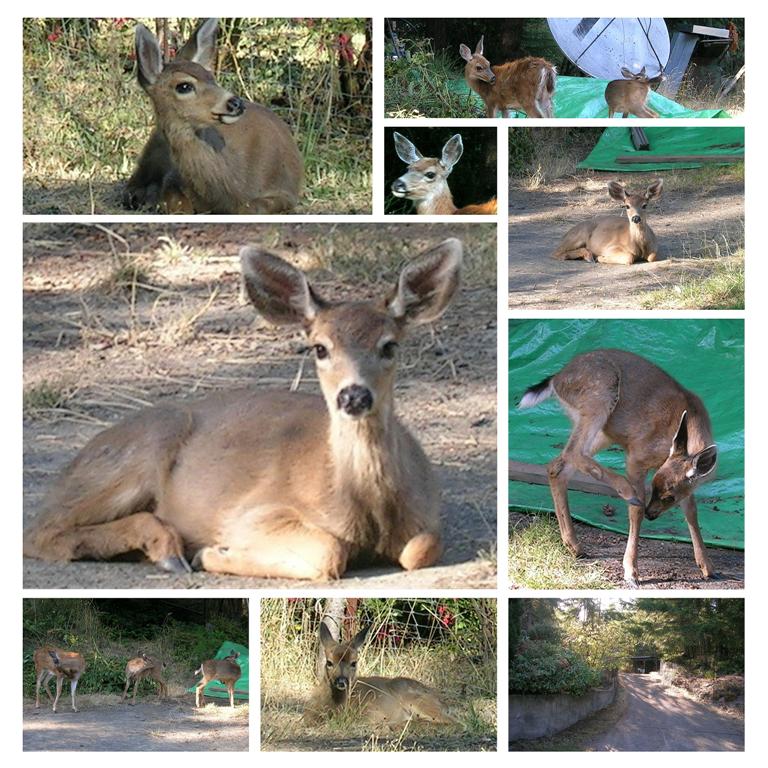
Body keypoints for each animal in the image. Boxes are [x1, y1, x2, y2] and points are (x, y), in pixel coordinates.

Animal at [22, 239, 463, 581]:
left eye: (389, 345)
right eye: (320, 348)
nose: (353, 396)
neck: (368, 509)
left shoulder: (428, 514)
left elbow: (421, 548)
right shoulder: (252, 513)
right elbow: (329, 552)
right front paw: (213, 553)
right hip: (141, 447)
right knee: (40, 529)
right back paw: (169, 550)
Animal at [126, 18, 302, 214]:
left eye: (211, 77)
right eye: (184, 86)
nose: (236, 103)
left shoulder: (287, 192)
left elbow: (250, 207)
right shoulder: (173, 179)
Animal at [303, 624, 457, 730]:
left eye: (354, 662)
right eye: (329, 662)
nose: (341, 681)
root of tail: (443, 703)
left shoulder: (370, 714)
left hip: (416, 699)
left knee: (452, 721)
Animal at [518, 348, 718, 587]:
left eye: (669, 496)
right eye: (654, 487)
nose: (652, 514)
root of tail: (556, 379)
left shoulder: (683, 481)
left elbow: (691, 512)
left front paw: (707, 567)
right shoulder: (635, 456)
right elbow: (636, 511)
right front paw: (631, 571)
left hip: (604, 429)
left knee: (558, 464)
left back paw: (574, 546)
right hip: (599, 394)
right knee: (573, 452)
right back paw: (626, 492)